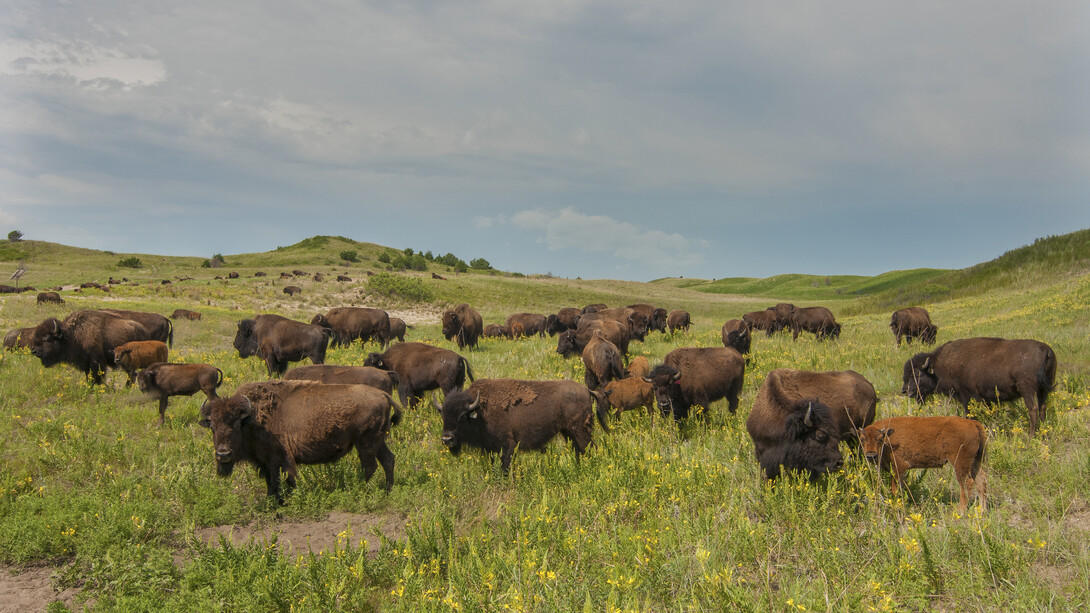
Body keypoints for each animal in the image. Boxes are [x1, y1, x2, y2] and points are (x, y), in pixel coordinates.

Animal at [200, 379, 401, 503]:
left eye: (236, 426)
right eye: (213, 427)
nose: (223, 454)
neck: (252, 417)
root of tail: (383, 394)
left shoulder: (278, 459)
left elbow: (281, 480)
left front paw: (282, 501)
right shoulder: (265, 462)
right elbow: (270, 481)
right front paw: (272, 500)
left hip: (365, 442)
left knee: (370, 466)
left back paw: (358, 489)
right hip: (377, 441)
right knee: (388, 460)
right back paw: (388, 490)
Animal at [433, 377, 610, 473]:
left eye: (462, 417)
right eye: (443, 415)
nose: (447, 439)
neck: (479, 411)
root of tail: (586, 390)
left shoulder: (507, 446)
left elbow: (505, 467)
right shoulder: (490, 449)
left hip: (581, 431)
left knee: (590, 449)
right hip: (569, 432)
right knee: (579, 451)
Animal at [854, 414, 994, 510]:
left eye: (880, 439)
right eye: (862, 439)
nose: (871, 455)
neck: (890, 437)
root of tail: (974, 423)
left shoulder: (899, 466)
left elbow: (895, 487)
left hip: (960, 462)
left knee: (966, 483)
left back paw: (960, 511)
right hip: (975, 461)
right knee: (981, 480)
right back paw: (982, 511)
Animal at [902, 333, 1055, 434]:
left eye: (917, 374)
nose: (905, 391)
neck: (938, 366)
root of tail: (1045, 349)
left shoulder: (968, 397)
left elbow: (970, 415)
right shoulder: (988, 399)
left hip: (1027, 389)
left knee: (1033, 409)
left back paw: (1030, 435)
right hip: (1043, 389)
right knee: (1042, 407)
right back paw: (1043, 431)